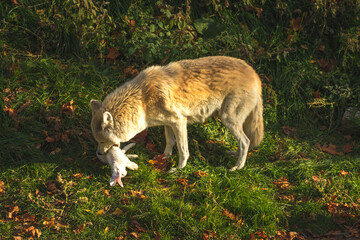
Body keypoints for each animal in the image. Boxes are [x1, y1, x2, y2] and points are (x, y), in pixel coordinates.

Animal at [90, 55, 264, 173]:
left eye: (102, 141)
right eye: (97, 141)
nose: (98, 153)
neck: (142, 100)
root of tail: (255, 75)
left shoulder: (180, 122)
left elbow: (183, 150)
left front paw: (179, 169)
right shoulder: (168, 123)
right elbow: (170, 142)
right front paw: (163, 158)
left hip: (228, 119)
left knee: (246, 141)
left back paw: (237, 167)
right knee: (244, 143)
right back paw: (235, 154)